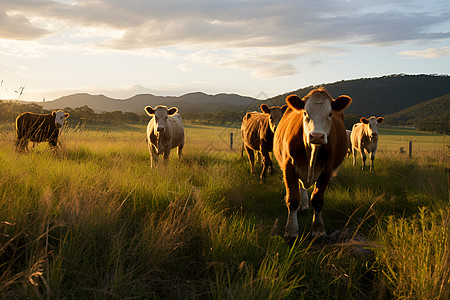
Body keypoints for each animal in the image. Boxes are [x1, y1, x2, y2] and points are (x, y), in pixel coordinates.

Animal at [272, 87, 354, 241]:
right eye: (305, 113)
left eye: (330, 114)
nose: (316, 136)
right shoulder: (288, 167)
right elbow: (292, 199)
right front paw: (291, 232)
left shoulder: (327, 170)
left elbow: (317, 200)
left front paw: (318, 231)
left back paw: (304, 207)